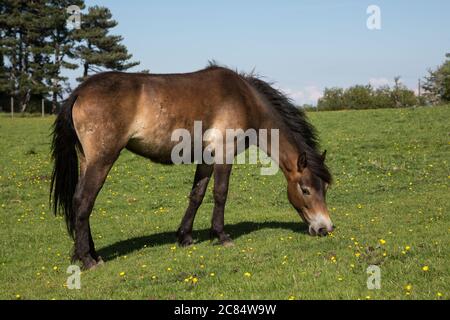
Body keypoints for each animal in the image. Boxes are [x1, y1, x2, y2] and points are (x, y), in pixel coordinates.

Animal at [50, 63, 334, 268]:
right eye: (306, 190)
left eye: (325, 189)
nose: (325, 228)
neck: (244, 98)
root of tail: (80, 91)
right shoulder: (224, 153)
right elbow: (220, 193)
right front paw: (221, 235)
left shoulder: (206, 156)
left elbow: (196, 195)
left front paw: (185, 236)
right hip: (102, 159)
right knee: (84, 202)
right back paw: (87, 259)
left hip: (88, 160)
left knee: (79, 201)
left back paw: (89, 253)